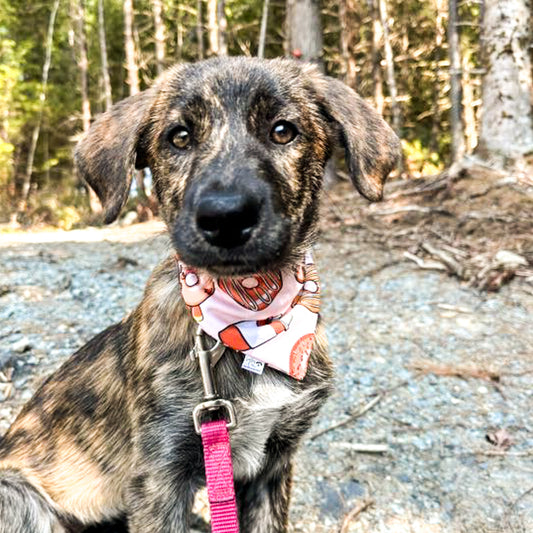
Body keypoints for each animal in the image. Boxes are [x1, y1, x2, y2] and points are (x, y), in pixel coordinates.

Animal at [0, 58, 400, 532]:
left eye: (283, 130)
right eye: (180, 137)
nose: (225, 217)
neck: (254, 316)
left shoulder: (273, 463)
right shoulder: (160, 474)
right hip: (20, 497)